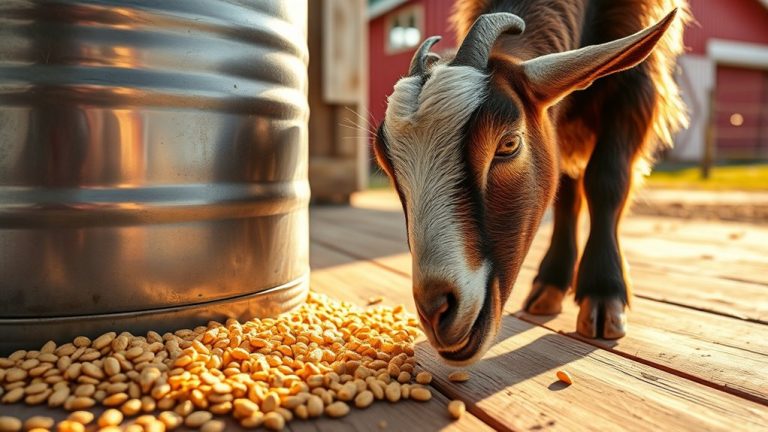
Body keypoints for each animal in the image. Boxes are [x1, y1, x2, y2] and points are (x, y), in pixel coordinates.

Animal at [373, 0, 688, 364]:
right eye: (387, 165)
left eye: (508, 144)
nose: (436, 311)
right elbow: (565, 189)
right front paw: (551, 283)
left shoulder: (636, 86)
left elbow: (606, 179)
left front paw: (603, 293)